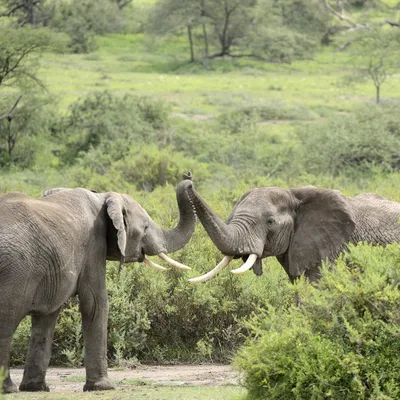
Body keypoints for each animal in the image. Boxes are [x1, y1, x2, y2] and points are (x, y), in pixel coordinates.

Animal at [0, 177, 195, 394]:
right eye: (145, 228)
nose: (188, 179)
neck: (103, 197)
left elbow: (47, 316)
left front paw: (36, 388)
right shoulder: (94, 246)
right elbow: (95, 304)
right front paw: (103, 387)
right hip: (14, 271)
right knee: (6, 322)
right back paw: (8, 389)